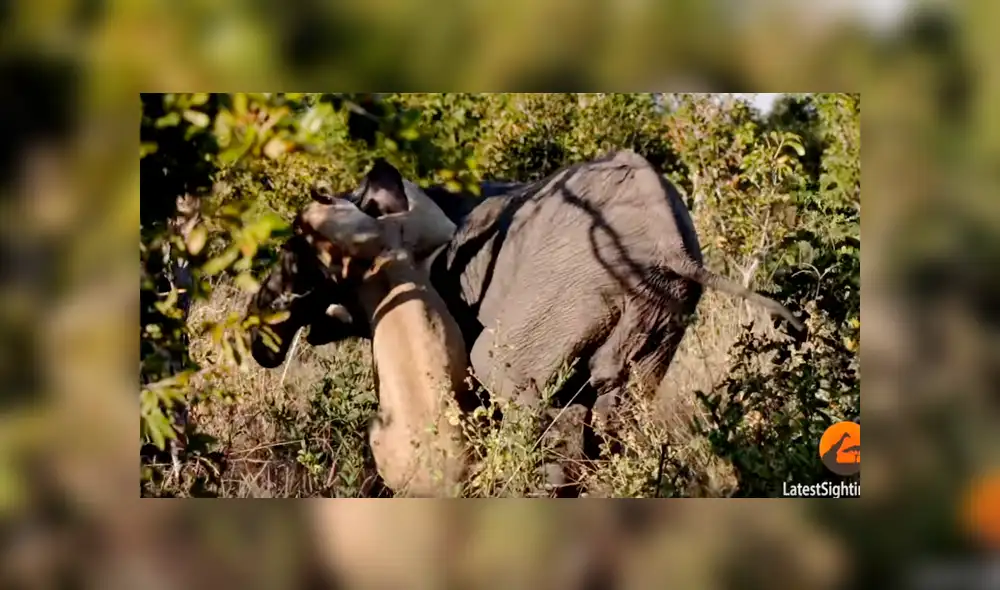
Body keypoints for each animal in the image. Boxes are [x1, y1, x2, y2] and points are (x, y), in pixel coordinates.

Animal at [247, 150, 805, 494]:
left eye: (295, 256)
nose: (261, 347)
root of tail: (668, 246)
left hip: (560, 296)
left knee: (518, 389)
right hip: (658, 310)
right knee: (617, 414)